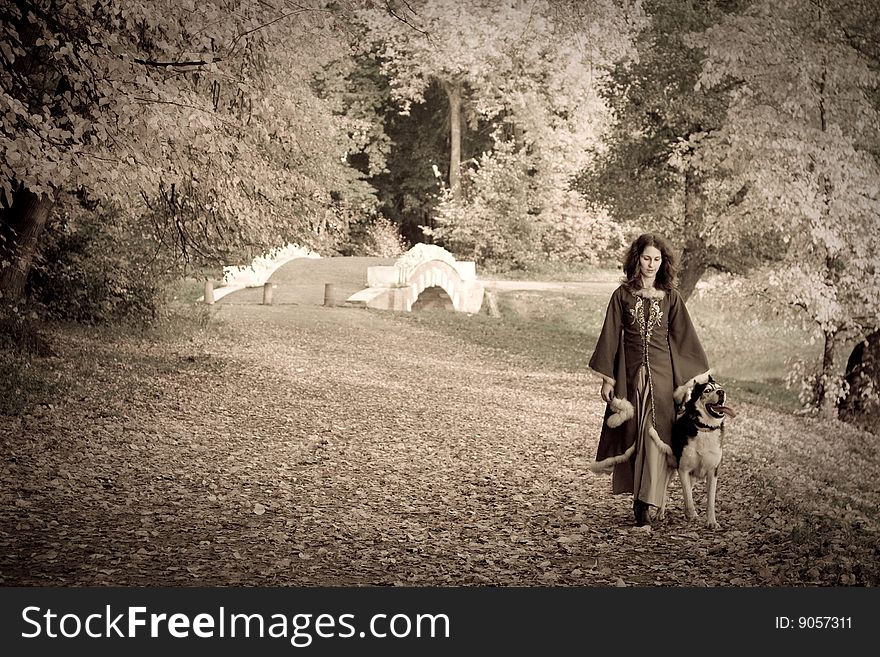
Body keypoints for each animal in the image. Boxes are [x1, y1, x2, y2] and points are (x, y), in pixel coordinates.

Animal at [660, 374, 736, 528]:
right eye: (707, 391)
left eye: (720, 388)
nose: (721, 392)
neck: (705, 428)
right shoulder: (683, 469)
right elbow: (688, 496)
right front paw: (692, 514)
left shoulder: (713, 471)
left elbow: (710, 501)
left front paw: (712, 522)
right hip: (670, 469)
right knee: (664, 490)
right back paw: (659, 513)